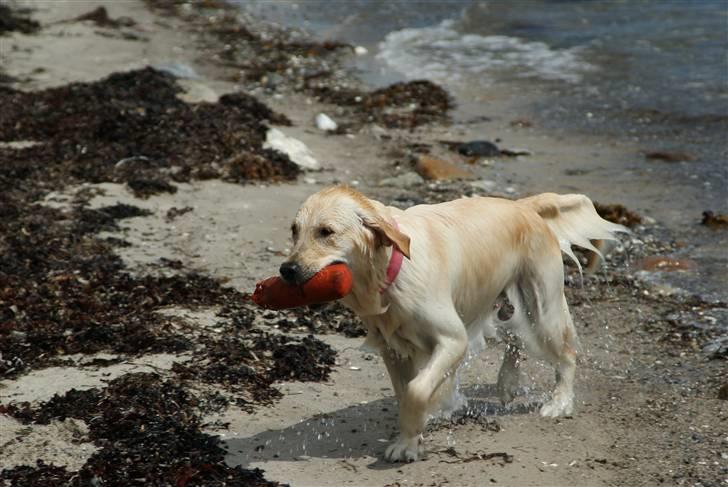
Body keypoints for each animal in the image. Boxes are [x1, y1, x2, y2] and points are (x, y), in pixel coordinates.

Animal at [282, 186, 624, 462]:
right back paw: (507, 383)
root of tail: (524, 205)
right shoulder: (392, 349)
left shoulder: (452, 339)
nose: (287, 270)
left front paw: (409, 441)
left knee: (566, 353)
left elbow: (417, 390)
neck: (390, 267)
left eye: (326, 231)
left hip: (542, 306)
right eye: (294, 230)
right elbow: (405, 393)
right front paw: (412, 437)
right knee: (513, 338)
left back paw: (560, 402)